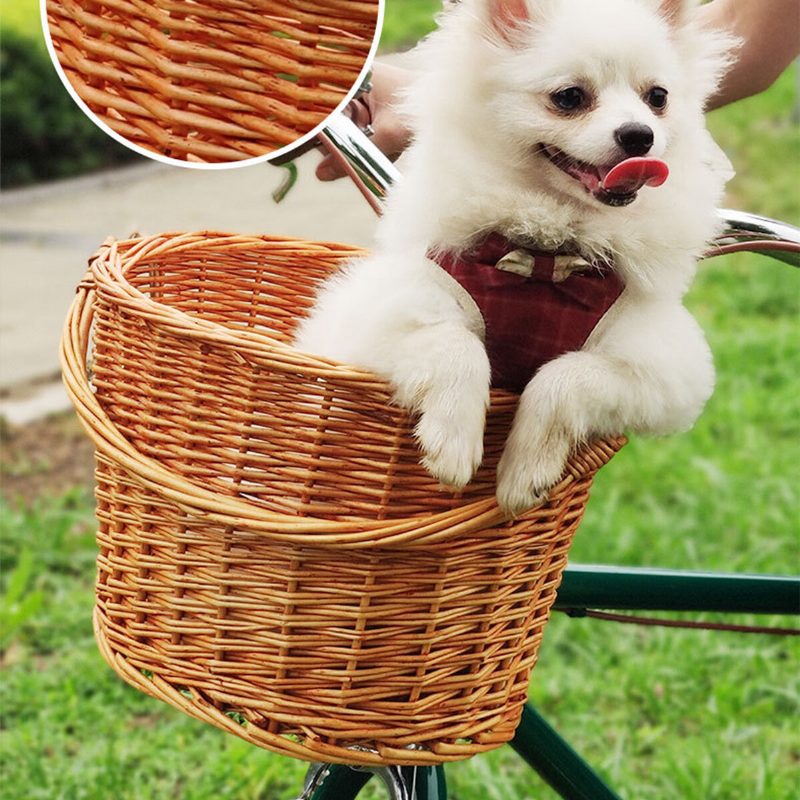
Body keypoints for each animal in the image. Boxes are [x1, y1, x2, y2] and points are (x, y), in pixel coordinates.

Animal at [292, 0, 732, 516]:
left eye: (658, 97)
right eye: (569, 97)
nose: (640, 135)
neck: (545, 258)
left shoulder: (668, 374)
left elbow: (564, 375)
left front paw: (527, 472)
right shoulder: (371, 326)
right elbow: (459, 345)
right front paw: (453, 444)